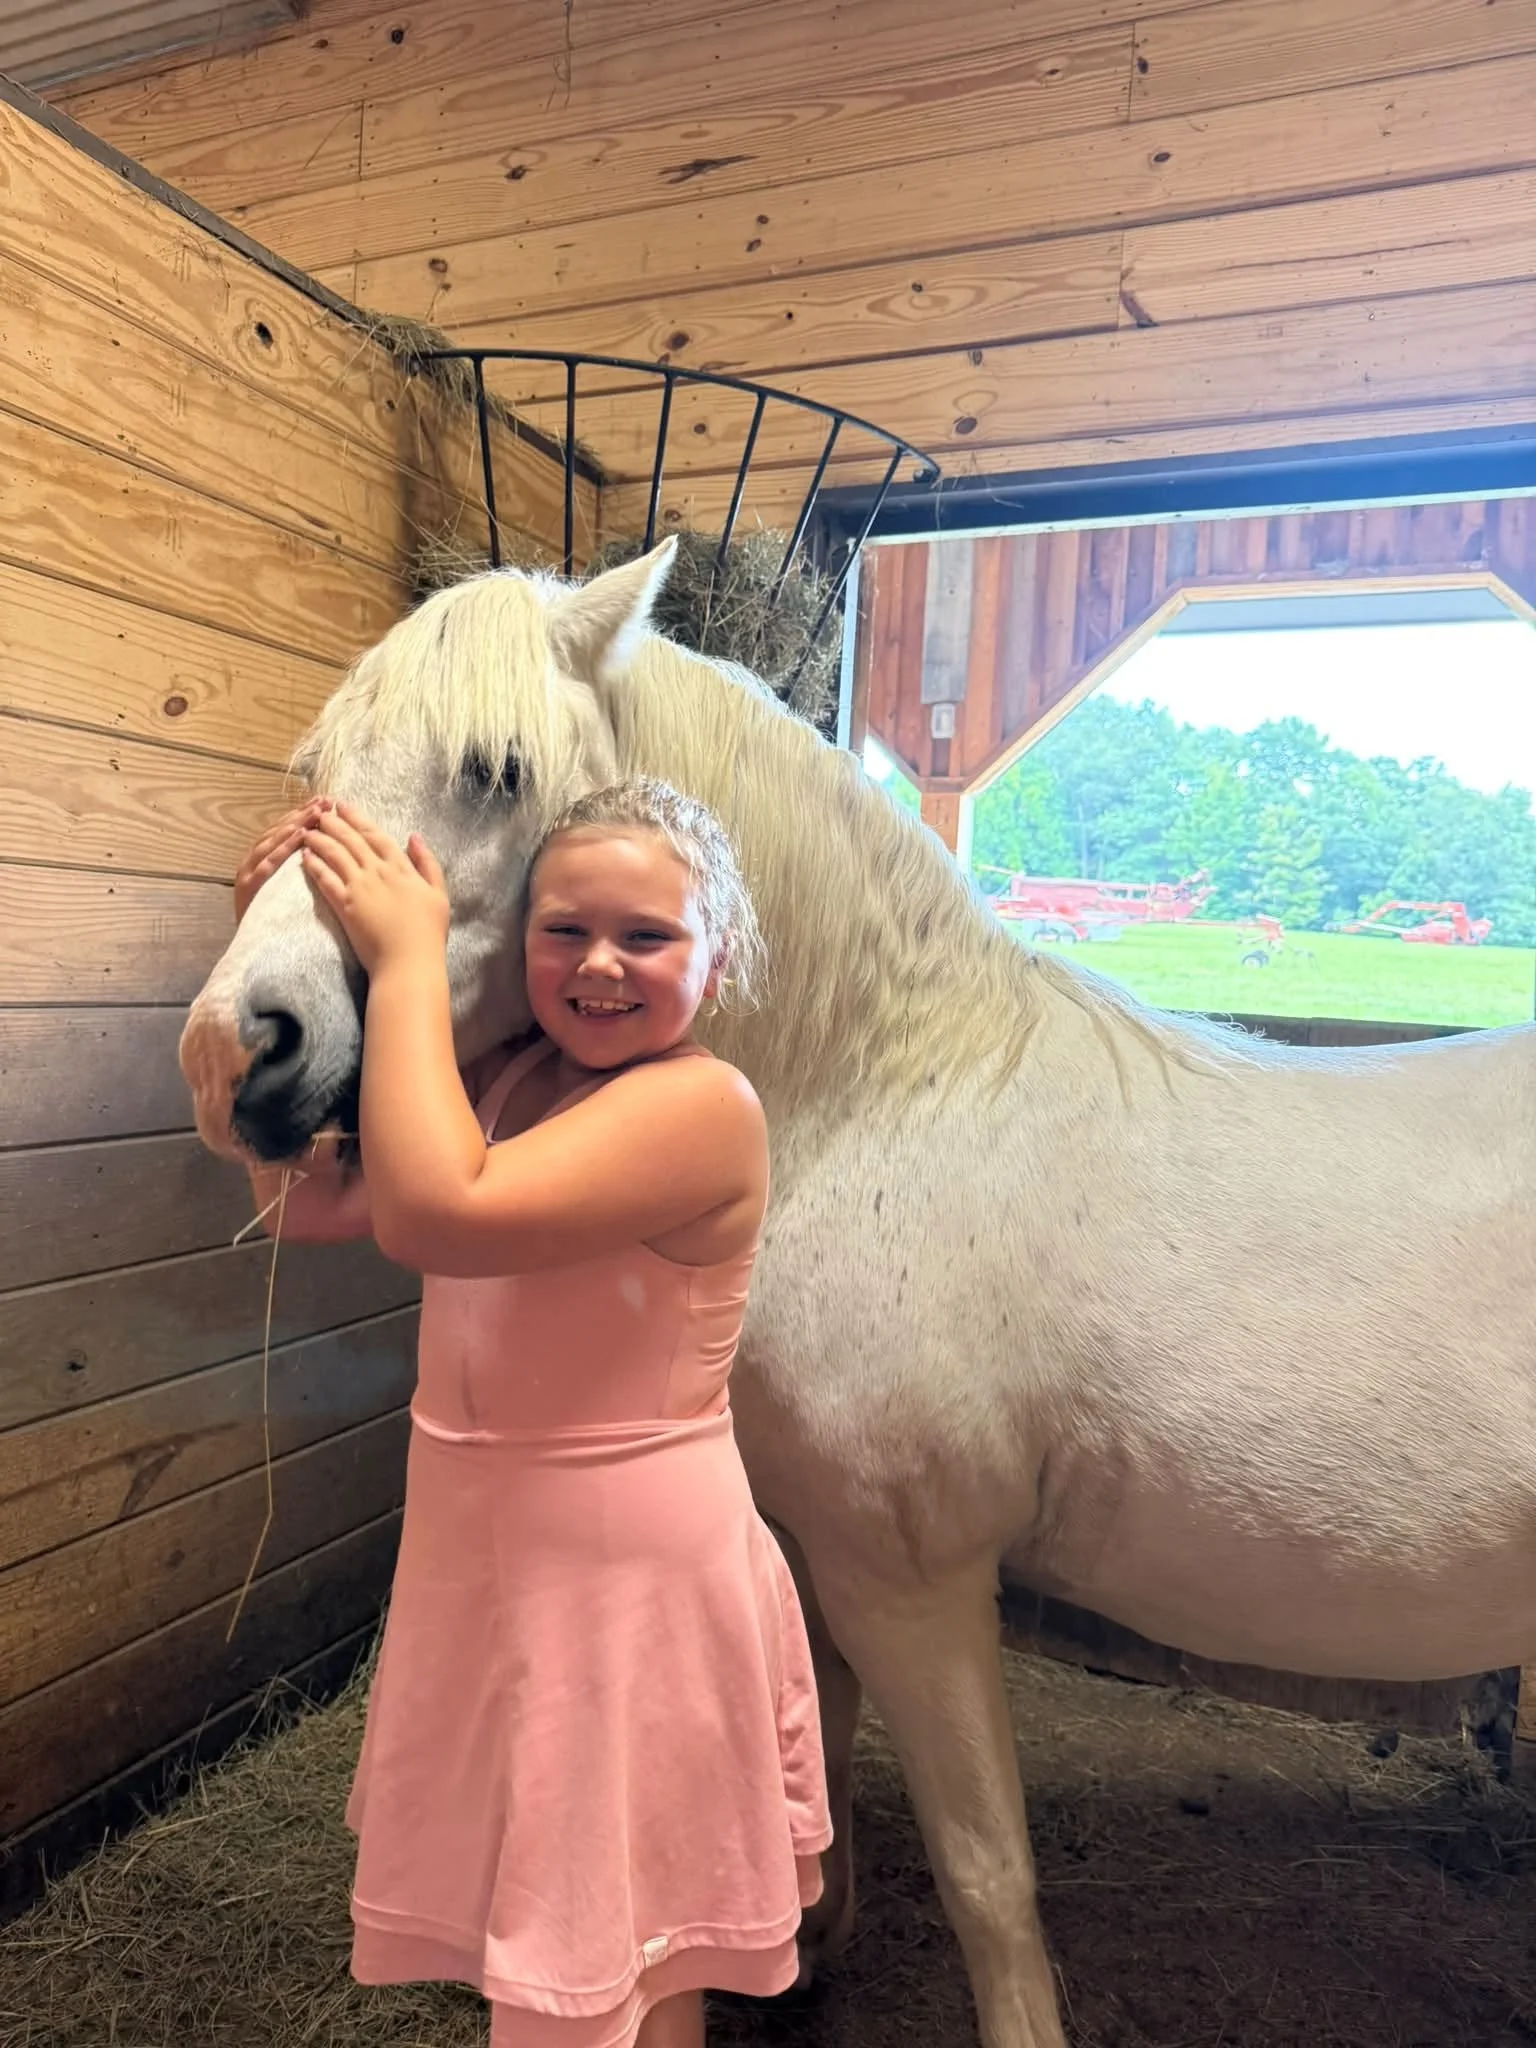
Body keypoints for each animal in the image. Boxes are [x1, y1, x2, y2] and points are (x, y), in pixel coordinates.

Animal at [180, 539, 1536, 2048]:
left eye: (497, 770)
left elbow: (987, 1872)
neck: (885, 1101)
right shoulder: (816, 1537)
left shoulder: (914, 1574)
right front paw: (800, 1944)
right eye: (315, 768)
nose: (238, 1050)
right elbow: (813, 1749)